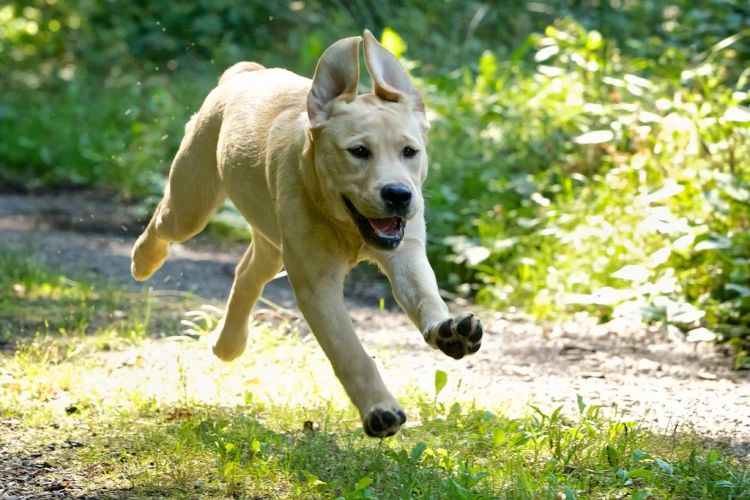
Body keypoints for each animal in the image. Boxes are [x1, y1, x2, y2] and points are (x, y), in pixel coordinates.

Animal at [131, 30, 483, 437]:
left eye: (410, 151)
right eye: (358, 151)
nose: (398, 194)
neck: (345, 223)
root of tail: (245, 72)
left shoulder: (405, 252)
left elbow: (425, 296)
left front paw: (449, 330)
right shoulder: (317, 286)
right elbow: (349, 351)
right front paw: (379, 409)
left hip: (272, 239)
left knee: (248, 272)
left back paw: (228, 344)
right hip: (193, 201)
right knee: (164, 220)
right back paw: (144, 261)